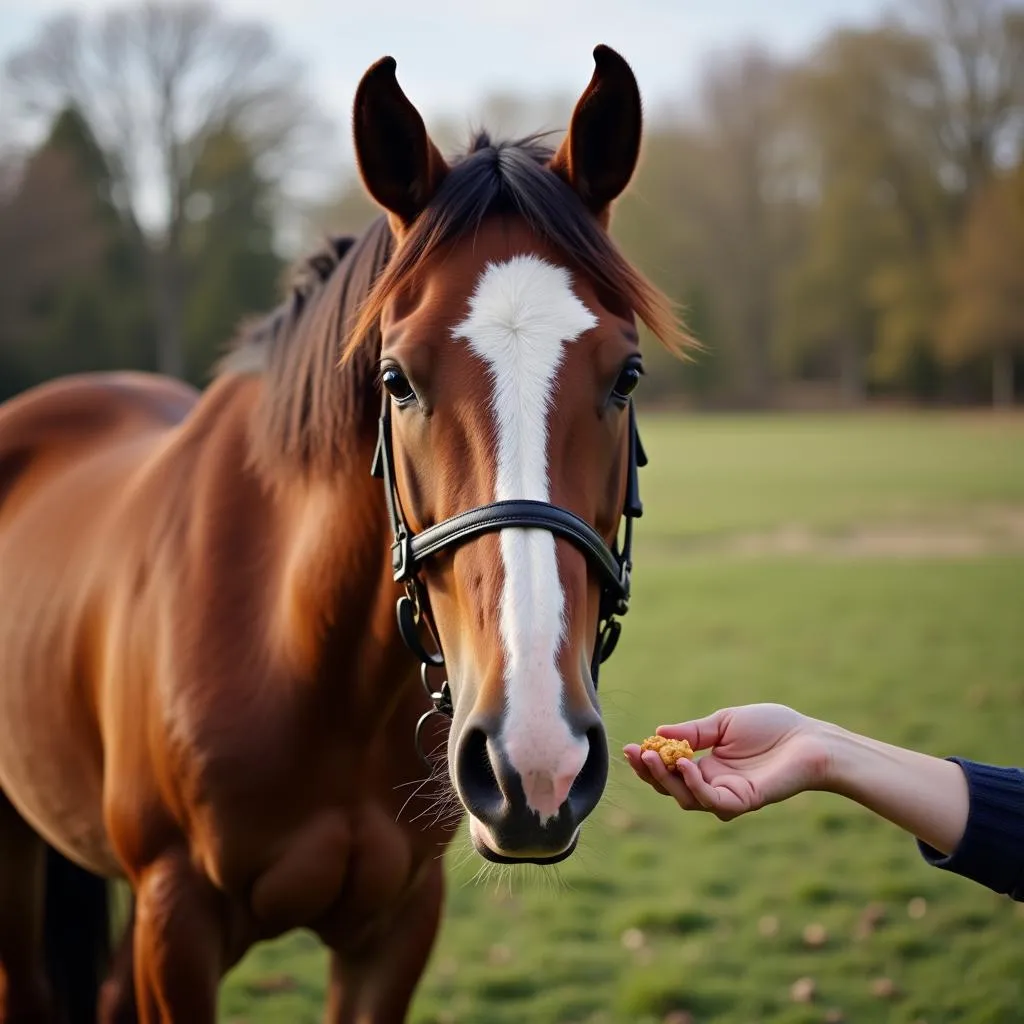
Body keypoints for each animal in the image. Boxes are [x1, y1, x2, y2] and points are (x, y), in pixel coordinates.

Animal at [2, 44, 688, 1019]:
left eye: (627, 374)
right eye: (395, 378)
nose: (536, 760)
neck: (304, 652)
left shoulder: (394, 926)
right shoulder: (177, 922)